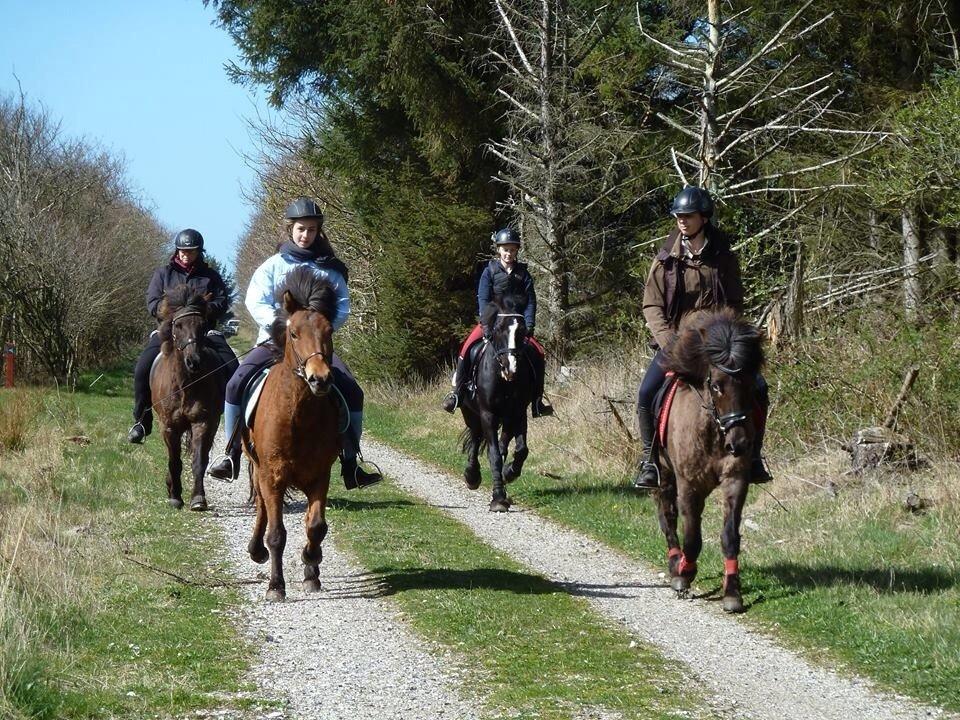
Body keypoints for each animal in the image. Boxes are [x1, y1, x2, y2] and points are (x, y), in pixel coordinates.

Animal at [150, 286, 225, 512]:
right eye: (178, 325)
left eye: (203, 325)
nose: (194, 361)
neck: (185, 385)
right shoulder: (168, 426)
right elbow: (174, 461)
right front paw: (175, 496)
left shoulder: (203, 422)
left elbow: (198, 461)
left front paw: (198, 499)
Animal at [244, 264, 342, 600]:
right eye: (294, 333)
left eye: (329, 332)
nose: (319, 379)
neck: (299, 416)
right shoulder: (273, 475)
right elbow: (276, 533)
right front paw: (276, 585)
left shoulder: (320, 475)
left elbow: (316, 526)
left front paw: (311, 565)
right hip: (258, 467)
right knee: (262, 507)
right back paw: (256, 550)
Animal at [456, 294, 532, 512]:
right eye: (498, 330)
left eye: (522, 331)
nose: (510, 368)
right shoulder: (487, 414)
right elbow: (494, 455)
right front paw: (498, 497)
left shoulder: (518, 413)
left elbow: (520, 450)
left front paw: (509, 474)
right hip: (470, 413)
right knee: (475, 438)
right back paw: (472, 476)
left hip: (506, 419)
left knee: (503, 444)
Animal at [652, 310, 764, 612]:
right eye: (715, 386)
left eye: (751, 385)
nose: (739, 444)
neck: (714, 431)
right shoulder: (688, 485)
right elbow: (692, 538)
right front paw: (684, 573)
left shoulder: (735, 480)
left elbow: (730, 536)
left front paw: (733, 593)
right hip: (663, 473)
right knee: (667, 516)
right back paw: (674, 562)